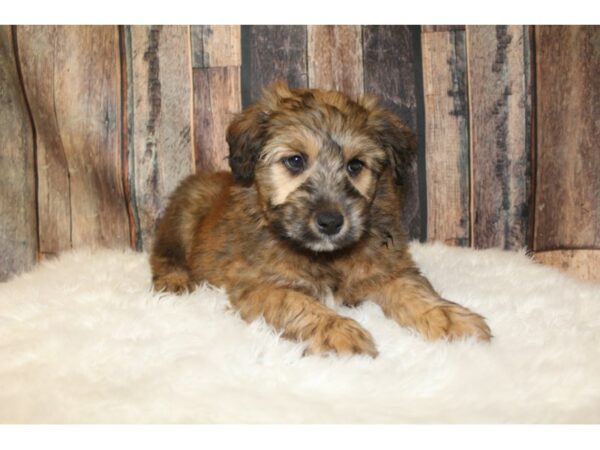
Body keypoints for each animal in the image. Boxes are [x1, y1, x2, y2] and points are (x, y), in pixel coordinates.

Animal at [151, 80, 492, 356]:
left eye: (355, 166)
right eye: (295, 161)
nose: (330, 222)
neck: (325, 258)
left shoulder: (387, 269)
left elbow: (414, 291)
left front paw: (451, 319)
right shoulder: (260, 285)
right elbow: (298, 304)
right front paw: (338, 330)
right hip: (185, 214)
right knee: (163, 254)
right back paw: (174, 280)